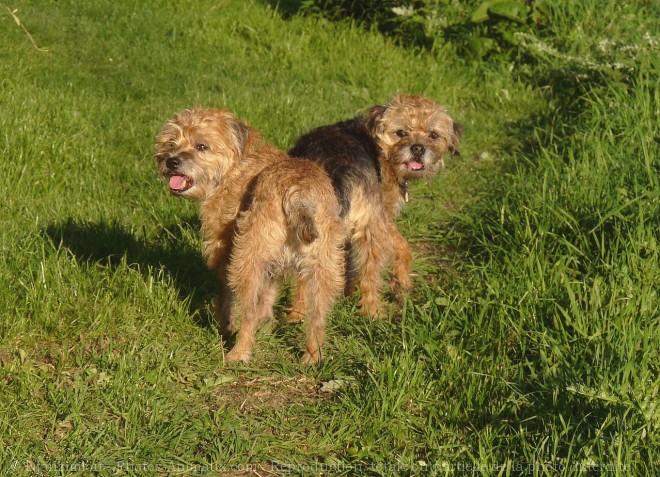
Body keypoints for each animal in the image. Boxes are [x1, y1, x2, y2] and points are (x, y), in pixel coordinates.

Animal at [152, 108, 342, 362]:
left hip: (248, 257)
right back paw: (312, 358)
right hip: (325, 267)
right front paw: (267, 323)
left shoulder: (222, 247)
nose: (171, 160)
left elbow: (225, 295)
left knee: (247, 309)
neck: (236, 165)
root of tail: (298, 191)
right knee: (317, 317)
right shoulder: (274, 264)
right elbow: (270, 291)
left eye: (201, 146)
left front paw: (224, 326)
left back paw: (238, 353)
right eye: (171, 142)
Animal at [286, 94, 462, 318]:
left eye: (433, 135)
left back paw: (297, 315)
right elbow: (403, 245)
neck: (381, 148)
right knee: (369, 276)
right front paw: (401, 279)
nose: (417, 148)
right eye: (400, 133)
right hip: (370, 229)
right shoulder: (381, 214)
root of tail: (330, 169)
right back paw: (373, 312)